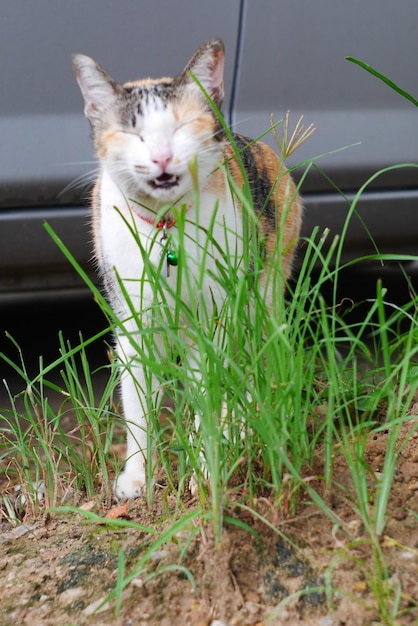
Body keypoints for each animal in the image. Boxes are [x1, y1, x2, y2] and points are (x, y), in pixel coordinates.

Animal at [72, 37, 304, 498]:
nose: (162, 158)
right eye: (133, 133)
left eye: (182, 128)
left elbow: (208, 396)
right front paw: (137, 478)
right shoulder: (133, 322)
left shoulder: (215, 318)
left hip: (262, 294)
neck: (166, 227)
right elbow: (138, 408)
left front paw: (207, 469)